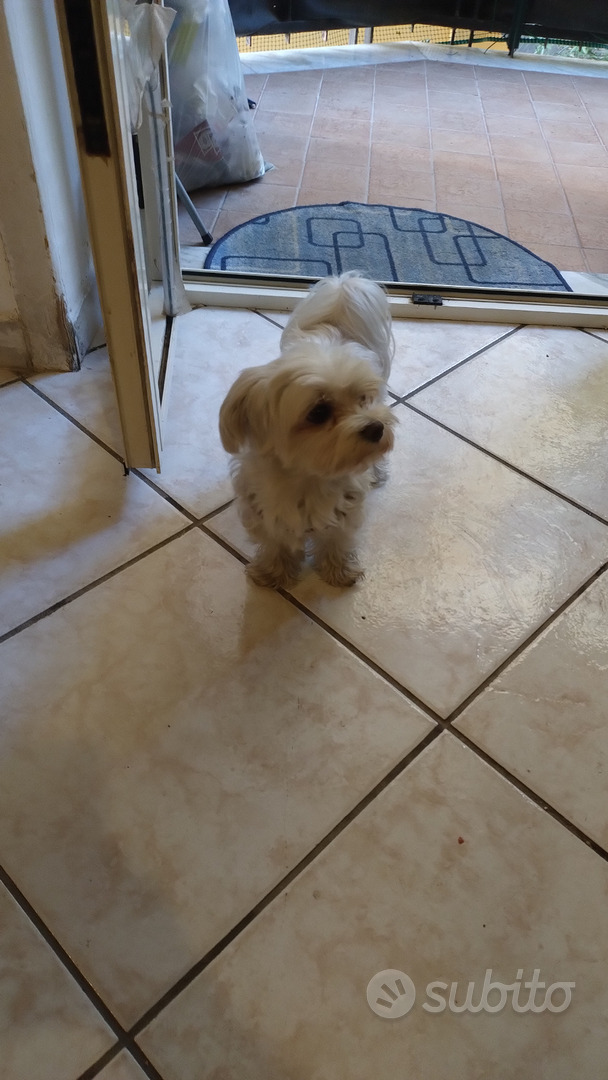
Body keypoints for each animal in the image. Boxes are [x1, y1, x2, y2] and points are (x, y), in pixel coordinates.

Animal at [219, 272, 396, 589]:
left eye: (363, 399)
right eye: (319, 412)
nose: (376, 428)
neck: (307, 477)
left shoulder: (346, 506)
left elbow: (337, 539)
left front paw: (338, 569)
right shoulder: (259, 506)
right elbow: (274, 541)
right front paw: (273, 570)